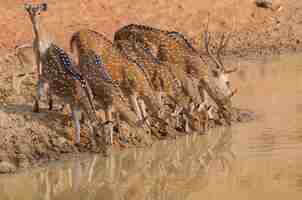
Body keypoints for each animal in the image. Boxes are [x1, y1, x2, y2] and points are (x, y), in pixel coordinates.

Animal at [23, 2, 106, 149]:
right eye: (99, 135)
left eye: (106, 135)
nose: (107, 150)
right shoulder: (73, 104)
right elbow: (77, 124)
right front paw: (77, 141)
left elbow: (84, 122)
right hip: (45, 73)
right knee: (39, 81)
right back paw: (37, 107)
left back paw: (49, 105)